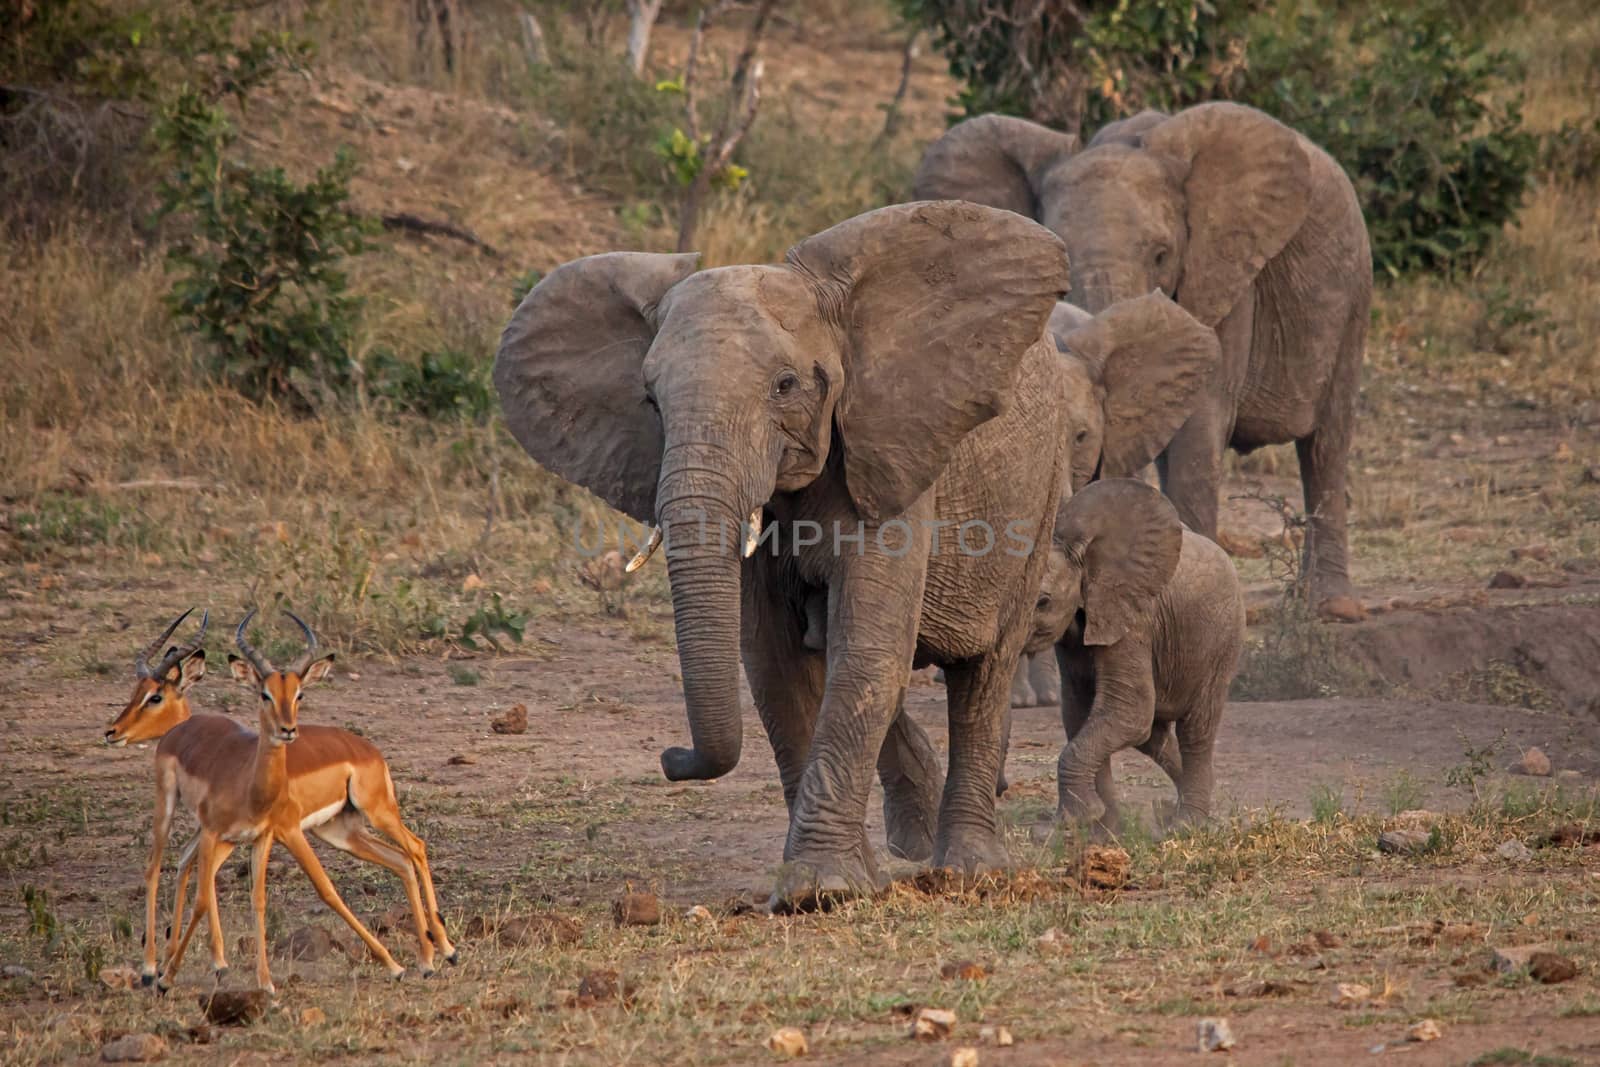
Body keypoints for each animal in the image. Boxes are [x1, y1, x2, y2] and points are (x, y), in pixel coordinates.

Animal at [496, 202, 1209, 908]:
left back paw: (968, 871)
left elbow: (867, 646)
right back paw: (911, 847)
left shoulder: (894, 453)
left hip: (1037, 496)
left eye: (785, 386)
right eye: (649, 401)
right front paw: (825, 886)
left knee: (986, 667)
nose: (672, 758)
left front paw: (822, 889)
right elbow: (777, 661)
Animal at [921, 106, 1369, 617]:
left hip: (1353, 292)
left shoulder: (1222, 271)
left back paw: (1331, 608)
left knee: (1325, 444)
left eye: (1161, 255)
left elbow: (1201, 424)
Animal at [1024, 479, 1248, 831]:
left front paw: (1071, 822)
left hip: (1223, 641)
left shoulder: (1133, 619)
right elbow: (1080, 712)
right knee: (1153, 737)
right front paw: (1101, 829)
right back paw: (1191, 810)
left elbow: (1128, 711)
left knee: (1195, 730)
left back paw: (1187, 824)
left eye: (1043, 602)